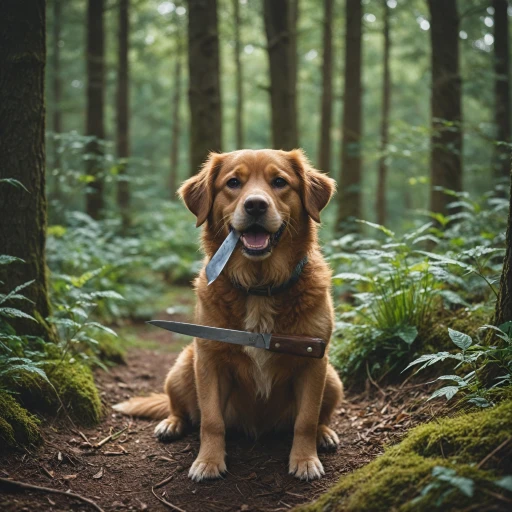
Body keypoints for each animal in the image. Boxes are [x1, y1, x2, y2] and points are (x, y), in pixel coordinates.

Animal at [112, 148, 344, 480]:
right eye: (233, 183)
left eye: (279, 182)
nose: (256, 205)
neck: (258, 287)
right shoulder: (209, 359)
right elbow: (211, 421)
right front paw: (208, 461)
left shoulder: (313, 361)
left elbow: (306, 420)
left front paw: (304, 460)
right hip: (183, 366)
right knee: (179, 408)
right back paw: (171, 423)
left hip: (333, 379)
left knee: (320, 417)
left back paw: (324, 434)